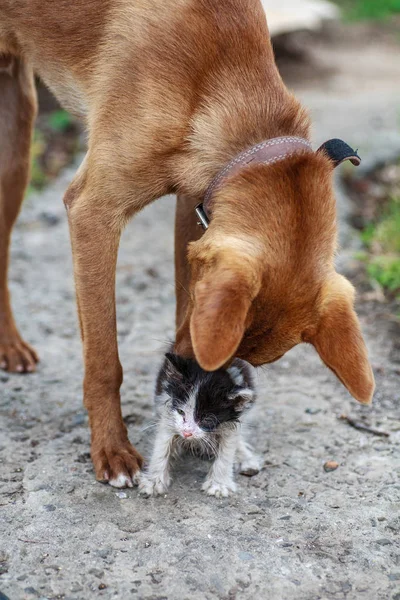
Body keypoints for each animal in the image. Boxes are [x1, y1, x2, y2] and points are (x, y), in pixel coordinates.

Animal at [139, 352, 260, 496]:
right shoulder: (169, 412)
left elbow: (227, 450)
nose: (186, 433)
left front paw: (219, 484)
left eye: (207, 420)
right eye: (181, 411)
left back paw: (246, 458)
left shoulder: (230, 422)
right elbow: (162, 446)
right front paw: (153, 481)